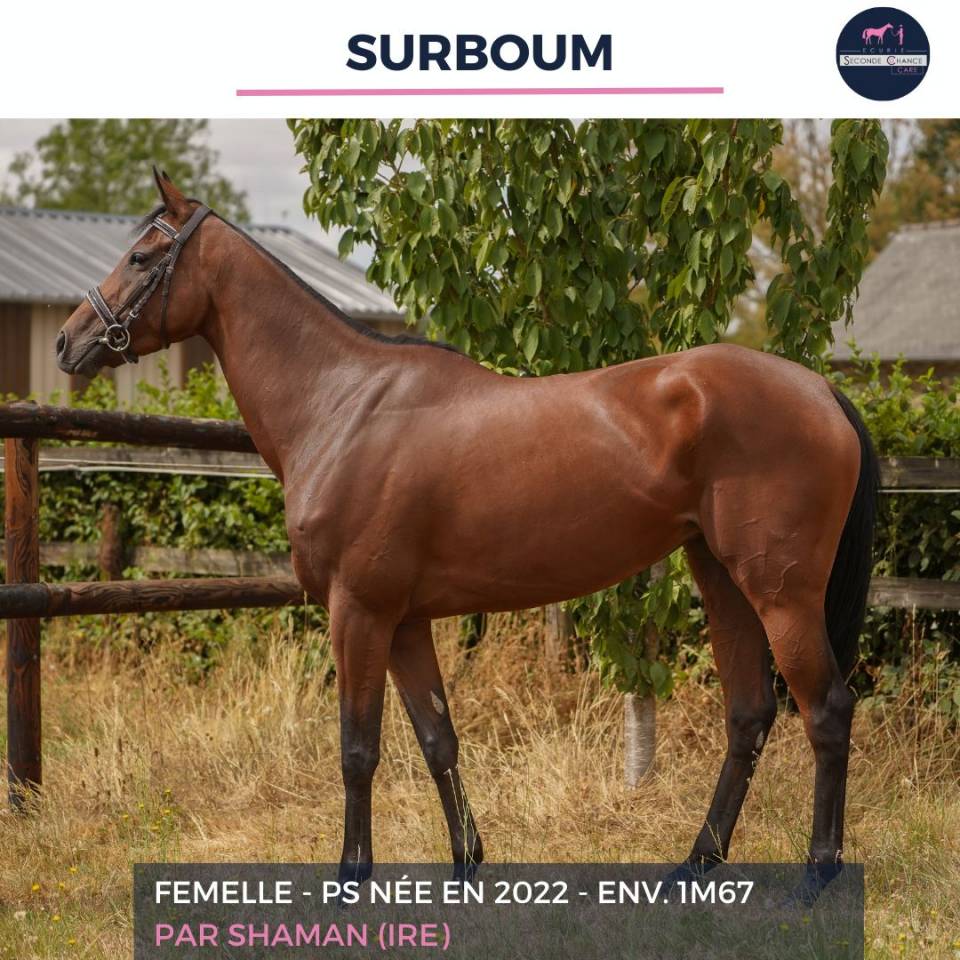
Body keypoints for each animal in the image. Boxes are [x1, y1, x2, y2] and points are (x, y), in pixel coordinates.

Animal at [56, 170, 877, 900]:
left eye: (141, 257)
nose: (69, 341)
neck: (341, 403)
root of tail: (820, 390)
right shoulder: (406, 622)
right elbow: (437, 741)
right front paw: (465, 867)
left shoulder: (359, 612)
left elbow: (358, 749)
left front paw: (351, 879)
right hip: (721, 578)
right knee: (750, 715)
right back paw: (696, 866)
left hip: (780, 594)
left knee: (826, 711)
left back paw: (817, 874)